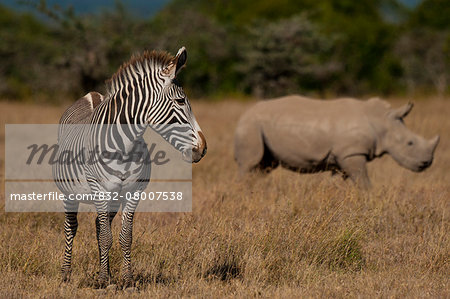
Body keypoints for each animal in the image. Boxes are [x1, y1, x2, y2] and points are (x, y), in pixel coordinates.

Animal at [51, 48, 207, 290]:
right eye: (181, 101)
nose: (202, 148)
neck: (123, 148)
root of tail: (91, 94)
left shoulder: (134, 192)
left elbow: (125, 236)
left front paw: (126, 279)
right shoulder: (99, 189)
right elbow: (107, 237)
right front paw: (104, 281)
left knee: (99, 225)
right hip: (70, 192)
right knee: (72, 227)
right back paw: (66, 274)